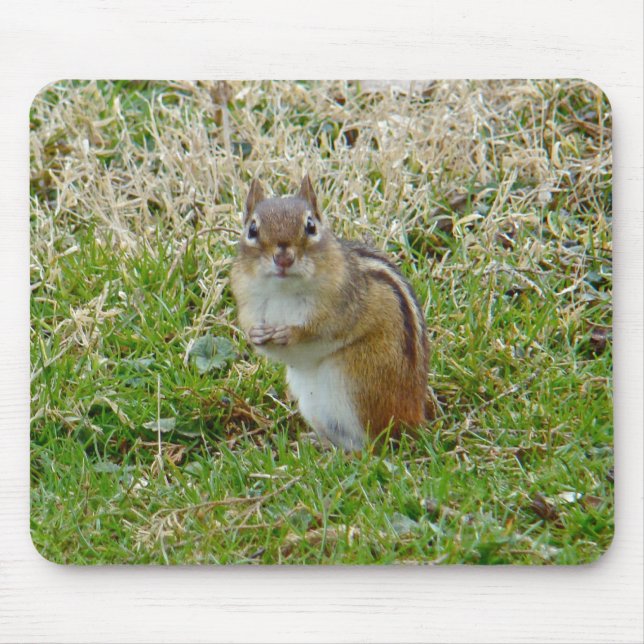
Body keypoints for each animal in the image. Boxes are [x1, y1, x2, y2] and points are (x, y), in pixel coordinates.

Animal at [230, 176, 432, 451]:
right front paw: (257, 334)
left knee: (371, 447)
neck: (283, 291)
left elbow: (321, 330)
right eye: (252, 229)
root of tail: (413, 417)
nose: (283, 258)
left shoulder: (342, 306)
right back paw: (319, 442)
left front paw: (291, 334)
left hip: (357, 382)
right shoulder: (249, 304)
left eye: (310, 226)